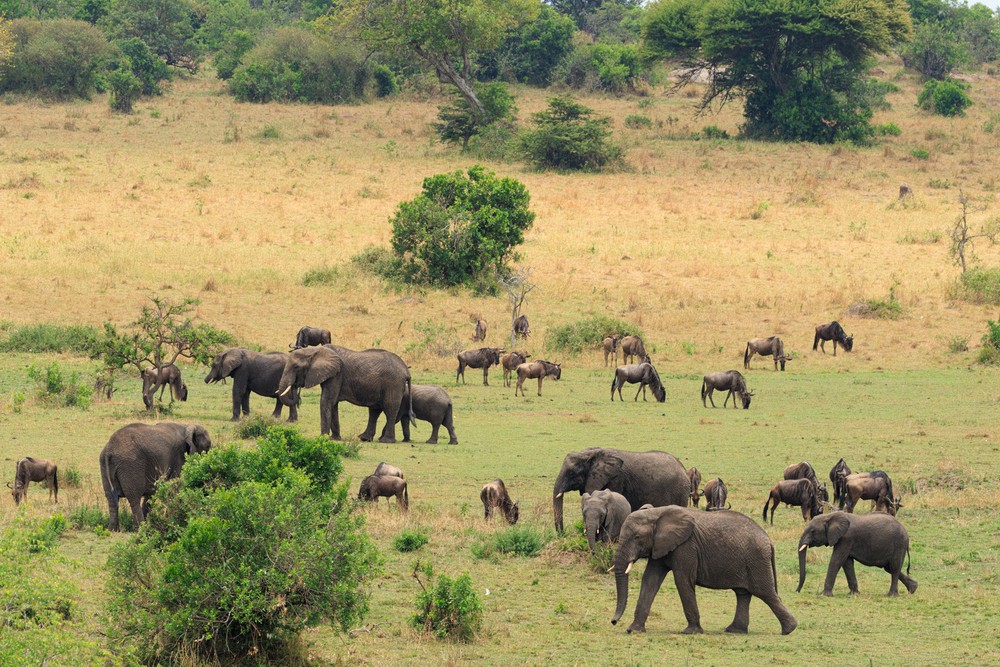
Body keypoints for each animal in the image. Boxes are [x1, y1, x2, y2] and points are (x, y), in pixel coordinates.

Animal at [277, 344, 413, 442]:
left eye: (296, 367)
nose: (295, 386)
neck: (316, 350)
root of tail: (406, 371)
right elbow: (333, 404)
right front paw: (334, 438)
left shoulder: (336, 375)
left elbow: (326, 401)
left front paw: (323, 438)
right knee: (374, 410)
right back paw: (364, 438)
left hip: (393, 384)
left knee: (389, 409)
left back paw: (385, 441)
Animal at [552, 447, 690, 533]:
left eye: (571, 473)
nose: (562, 534)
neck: (590, 453)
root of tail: (684, 469)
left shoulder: (615, 480)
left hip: (679, 491)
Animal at [611, 506, 797, 635]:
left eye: (637, 537)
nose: (613, 622)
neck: (657, 512)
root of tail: (769, 541)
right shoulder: (660, 546)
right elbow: (650, 580)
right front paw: (633, 630)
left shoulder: (686, 546)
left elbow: (682, 580)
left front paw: (690, 632)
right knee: (743, 594)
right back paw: (734, 630)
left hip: (756, 560)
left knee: (765, 592)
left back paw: (789, 629)